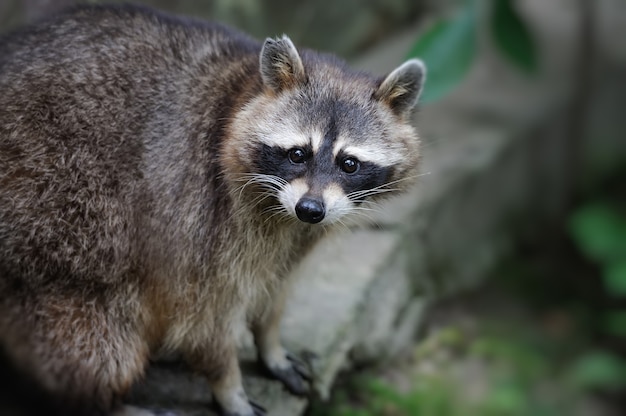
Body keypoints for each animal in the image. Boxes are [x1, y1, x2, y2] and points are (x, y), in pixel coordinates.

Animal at [0, 4, 424, 416]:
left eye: (349, 164)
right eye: (297, 154)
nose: (310, 208)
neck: (244, 90)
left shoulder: (297, 236)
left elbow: (275, 289)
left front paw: (269, 342)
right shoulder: (199, 216)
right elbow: (204, 318)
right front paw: (228, 385)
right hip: (57, 227)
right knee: (91, 338)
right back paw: (103, 402)